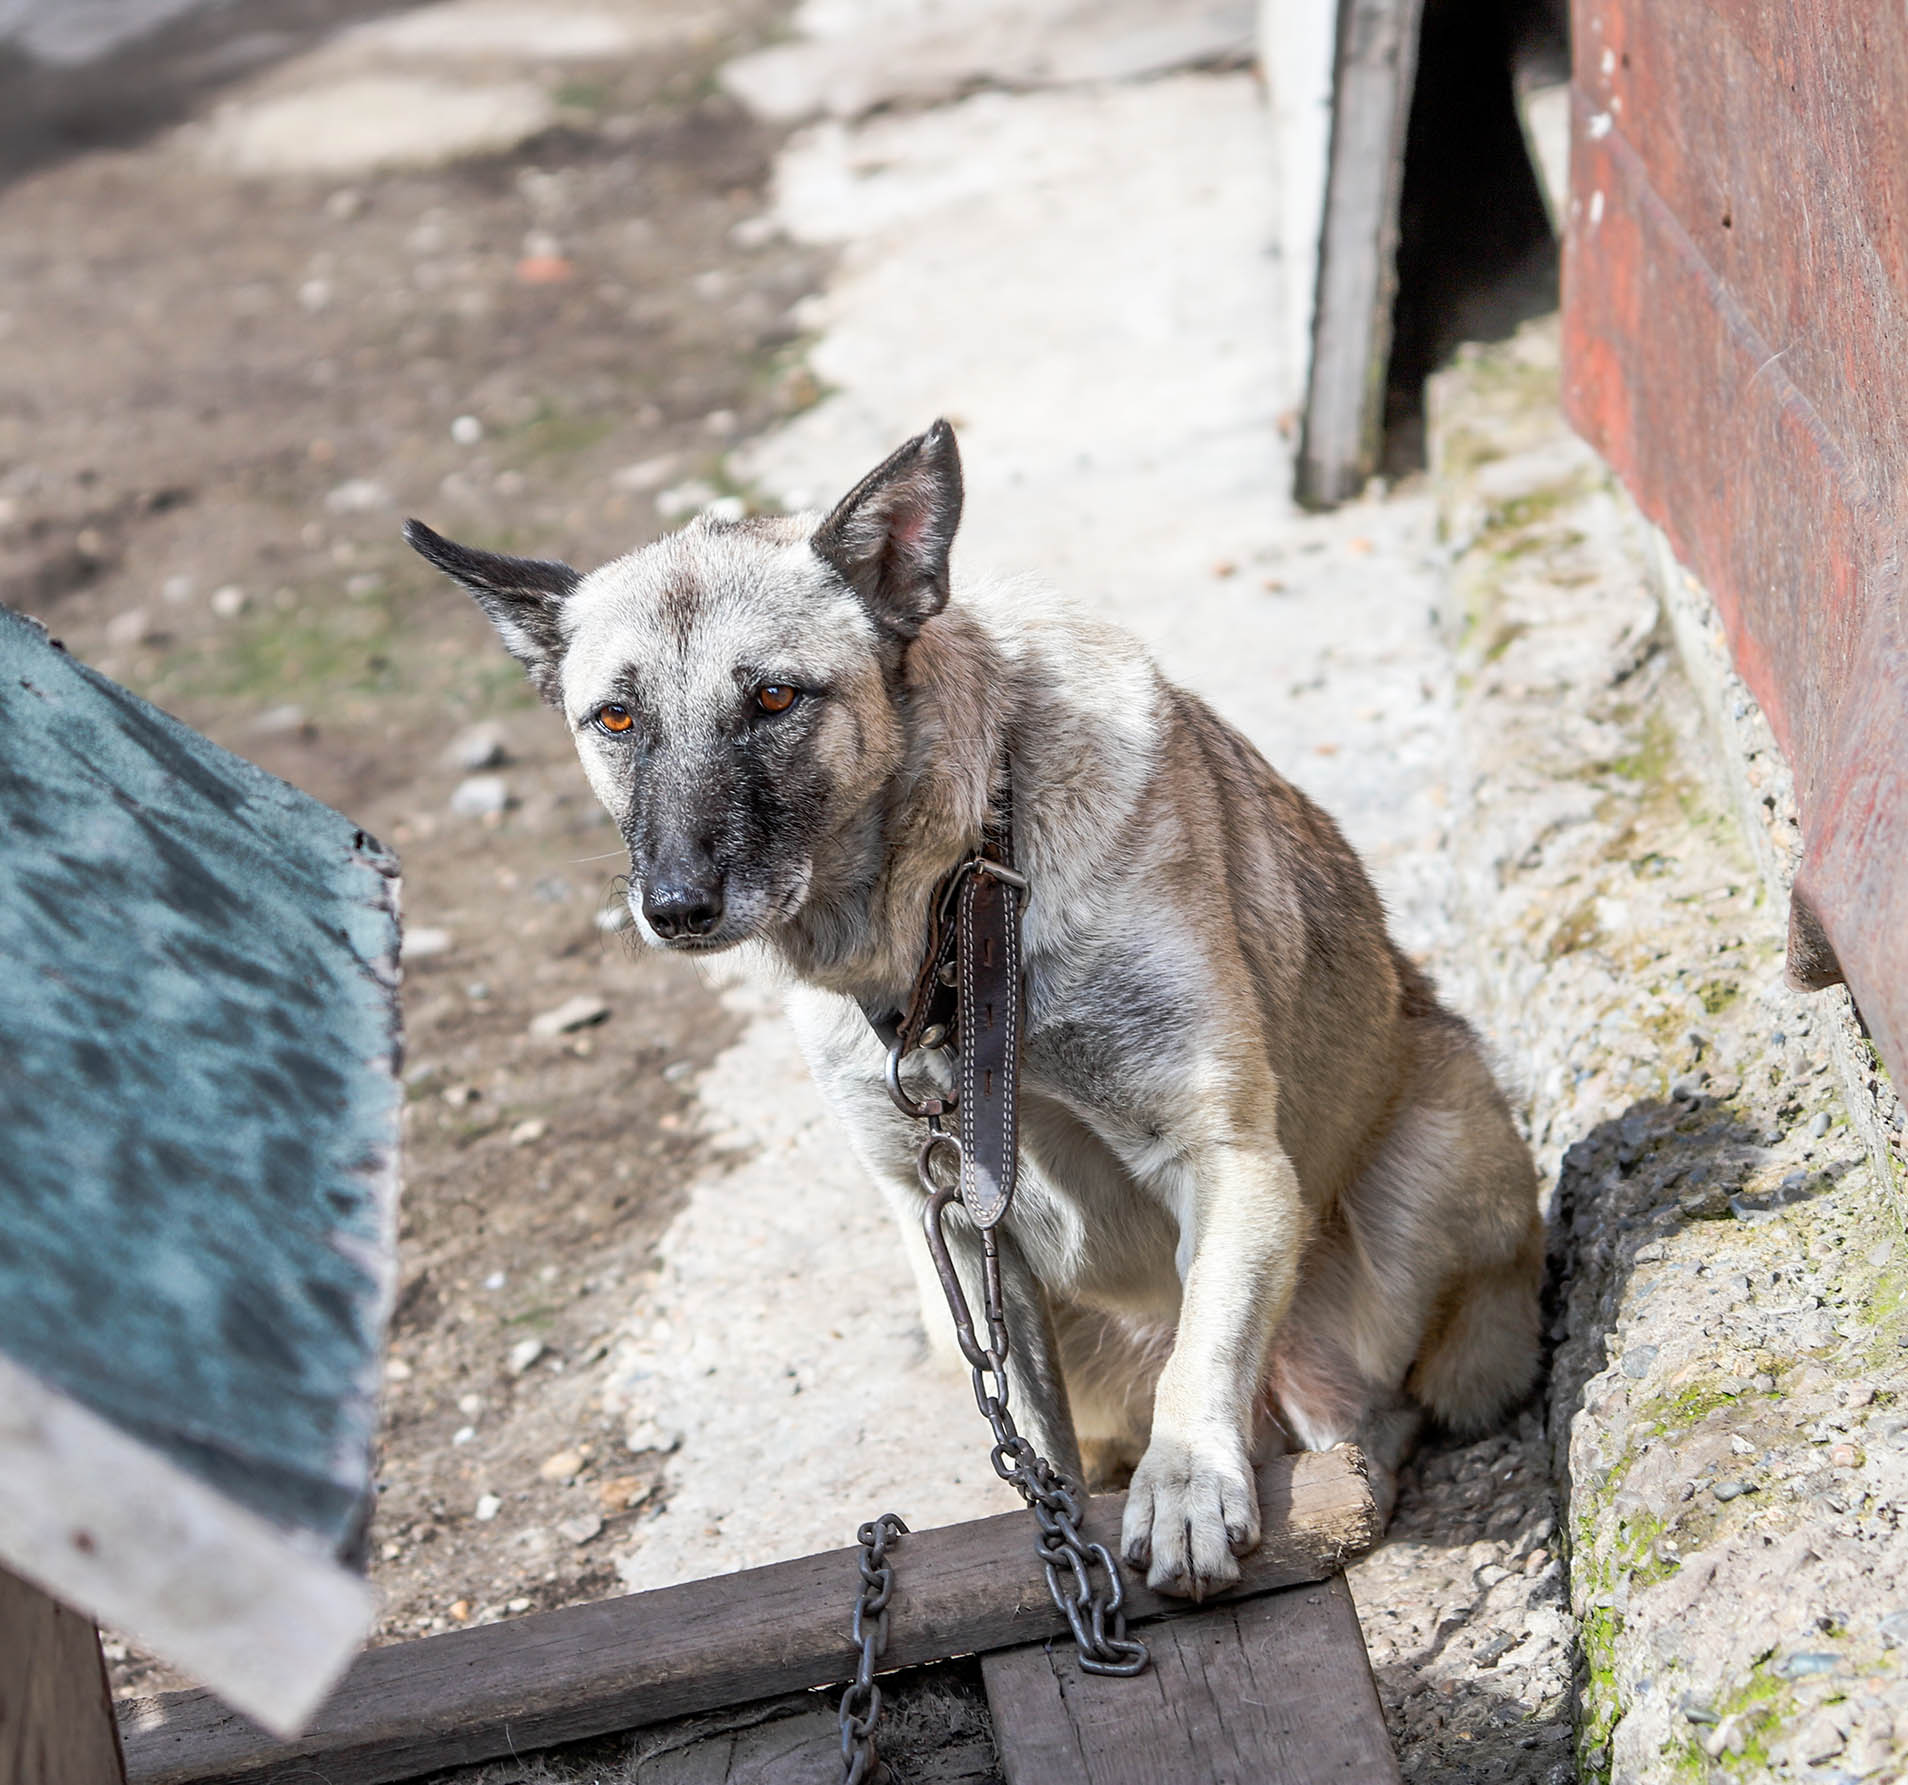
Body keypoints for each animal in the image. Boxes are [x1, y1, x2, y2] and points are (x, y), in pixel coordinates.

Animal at [406, 421, 1549, 1601]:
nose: (675, 907)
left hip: (1435, 1150)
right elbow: (1034, 1443)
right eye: (618, 717)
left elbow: (1202, 1354)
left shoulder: (1229, 1160)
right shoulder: (948, 1225)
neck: (953, 928)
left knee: (1378, 1397)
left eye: (773, 700)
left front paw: (1187, 1485)